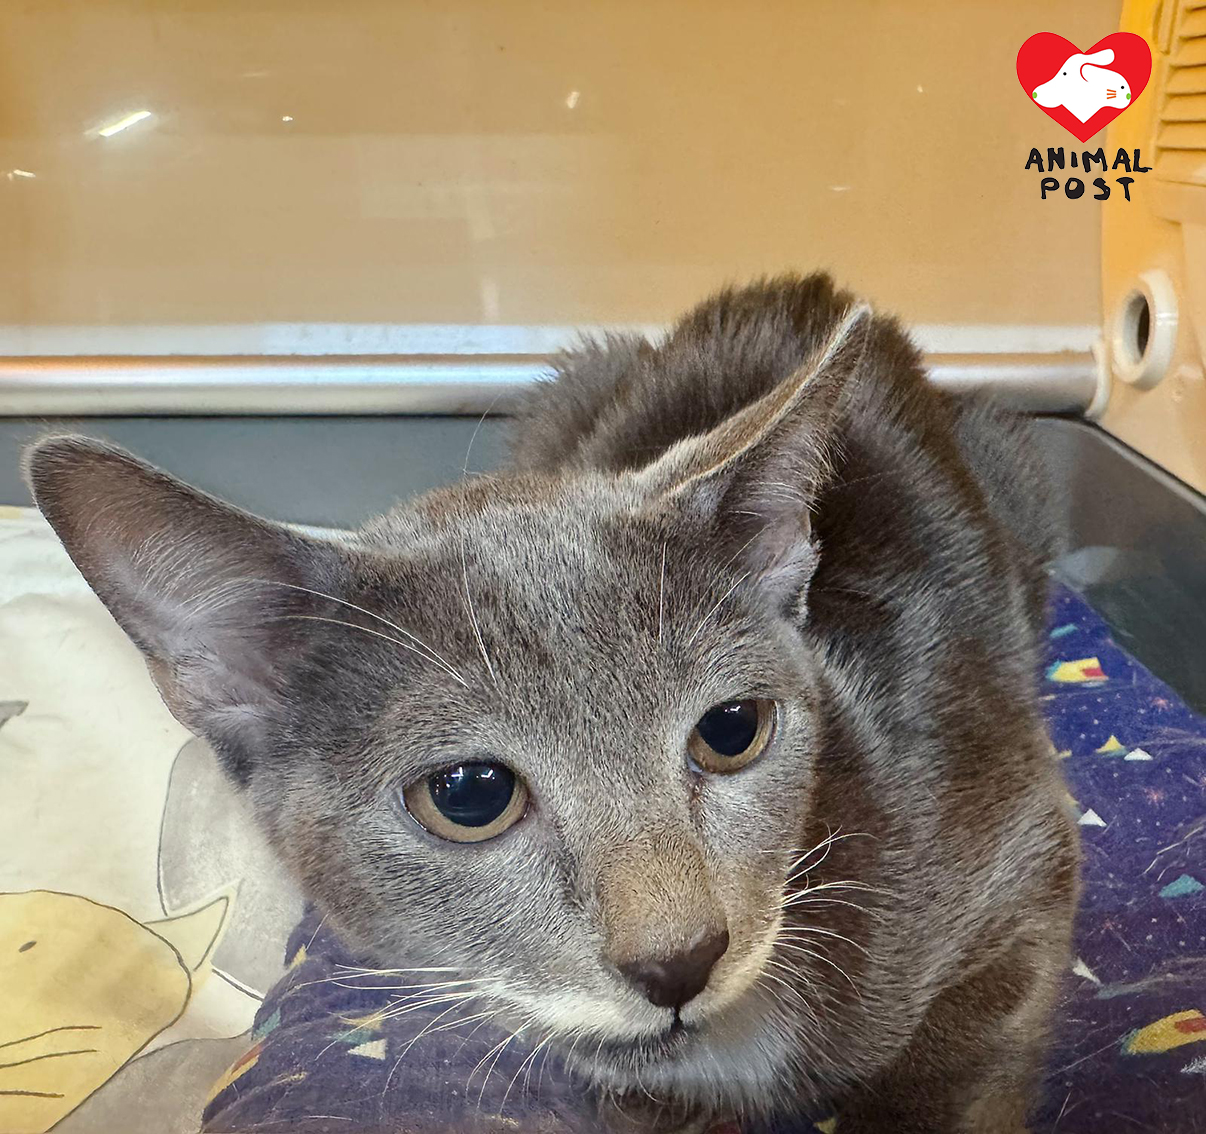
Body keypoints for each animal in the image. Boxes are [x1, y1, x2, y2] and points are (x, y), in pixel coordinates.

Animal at [25, 273, 1078, 1133]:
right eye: (469, 794)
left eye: (732, 731)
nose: (680, 957)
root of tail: (800, 284)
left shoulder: (1026, 857)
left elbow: (958, 1065)